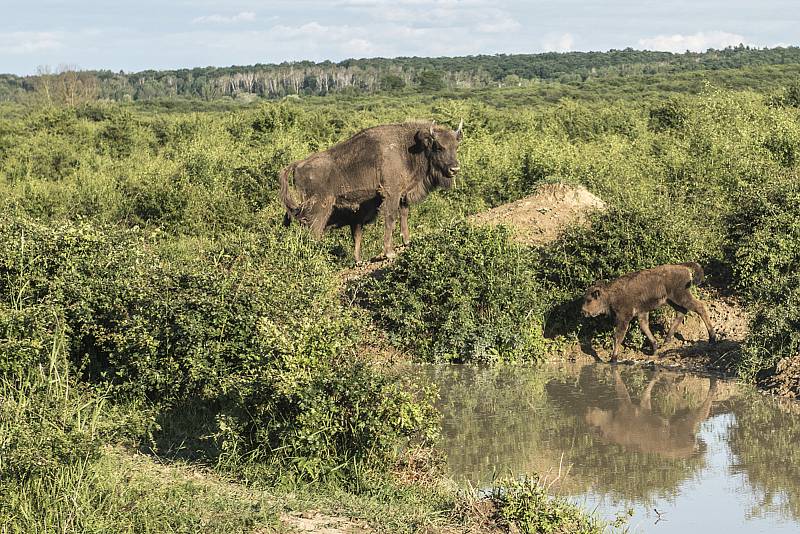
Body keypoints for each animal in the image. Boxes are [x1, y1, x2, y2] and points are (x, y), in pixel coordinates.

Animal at [280, 121, 462, 264]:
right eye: (439, 147)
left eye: (456, 146)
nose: (454, 169)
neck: (408, 148)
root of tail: (298, 164)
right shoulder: (391, 193)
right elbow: (390, 219)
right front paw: (389, 253)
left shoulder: (402, 195)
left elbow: (403, 215)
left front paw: (407, 241)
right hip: (320, 208)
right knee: (314, 232)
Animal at [580, 264, 716, 364]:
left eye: (589, 300)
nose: (583, 311)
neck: (610, 295)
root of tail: (683, 267)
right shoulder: (642, 312)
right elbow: (644, 327)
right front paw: (655, 348)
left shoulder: (624, 317)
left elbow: (618, 337)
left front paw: (613, 359)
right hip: (671, 300)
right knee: (681, 312)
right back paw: (666, 340)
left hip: (681, 296)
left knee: (700, 307)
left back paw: (712, 338)